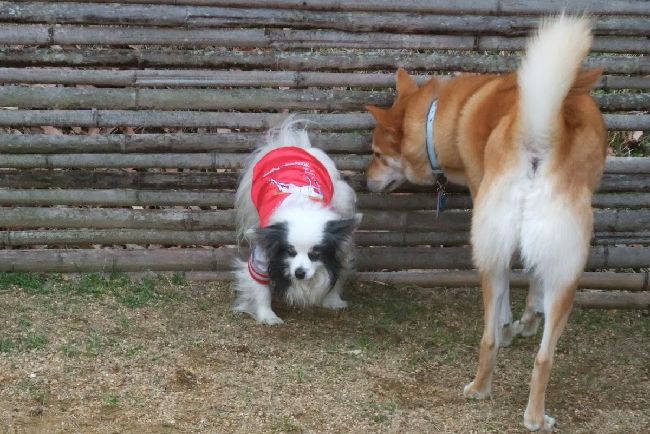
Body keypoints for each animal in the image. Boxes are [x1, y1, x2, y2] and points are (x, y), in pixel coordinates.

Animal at [234, 118, 361, 325]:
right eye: (290, 252)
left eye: (316, 254)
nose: (299, 273)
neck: (301, 205)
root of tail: (291, 145)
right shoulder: (262, 252)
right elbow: (260, 286)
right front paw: (267, 315)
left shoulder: (340, 249)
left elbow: (337, 273)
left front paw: (332, 300)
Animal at [365, 16, 607, 431]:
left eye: (378, 155)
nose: (363, 180)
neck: (440, 118)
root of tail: (541, 135)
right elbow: (529, 281)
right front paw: (525, 322)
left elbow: (519, 287)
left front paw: (518, 322)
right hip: (561, 263)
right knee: (538, 353)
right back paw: (525, 411)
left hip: (500, 247)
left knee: (503, 340)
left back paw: (497, 395)